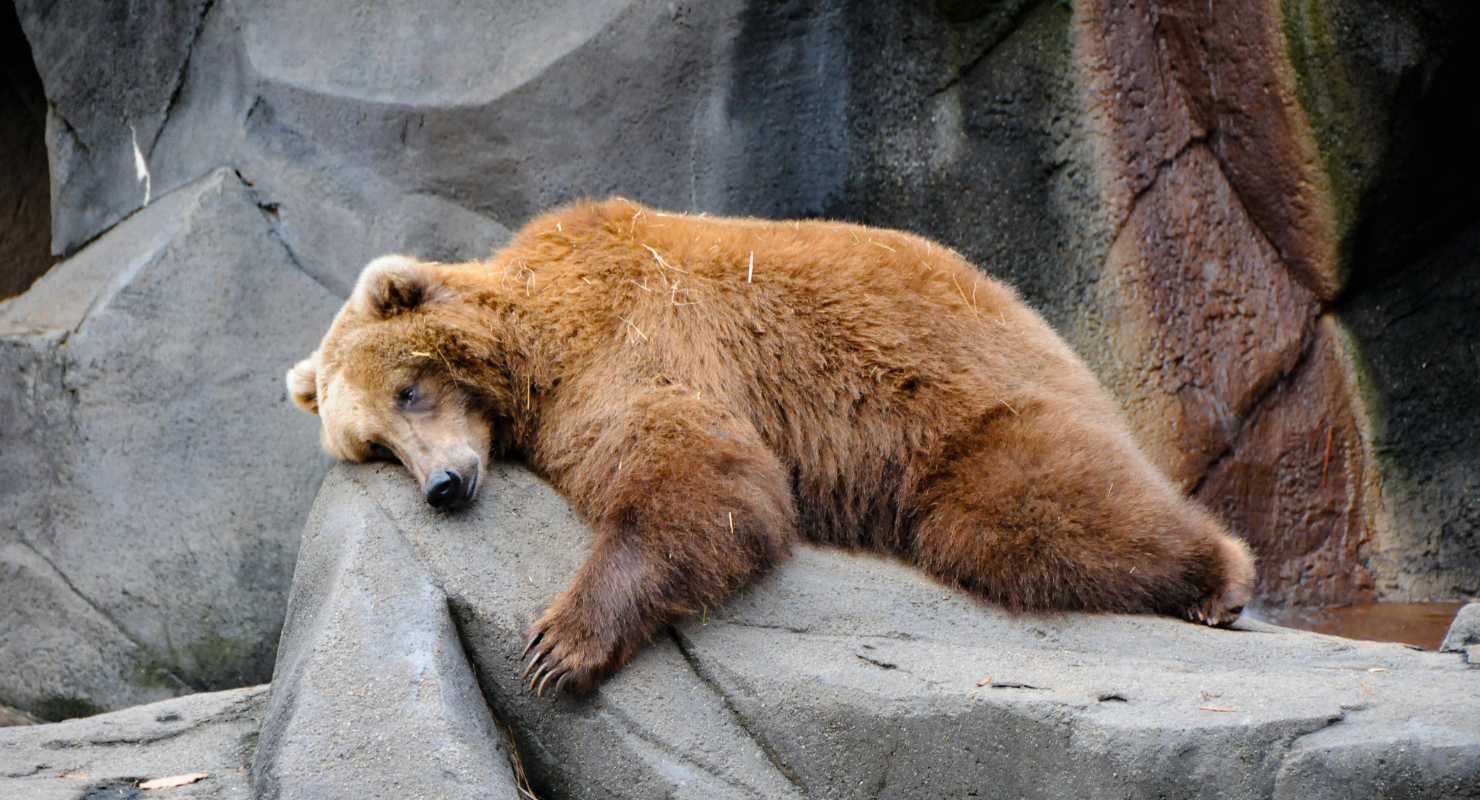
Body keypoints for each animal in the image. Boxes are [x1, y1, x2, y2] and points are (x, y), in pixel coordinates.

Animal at [287, 198, 1255, 695]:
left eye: (409, 391)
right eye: (376, 445)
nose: (444, 485)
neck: (534, 346)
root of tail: (1050, 332)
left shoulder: (630, 337)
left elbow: (707, 474)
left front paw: (559, 643)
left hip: (973, 413)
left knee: (1027, 515)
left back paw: (1221, 579)